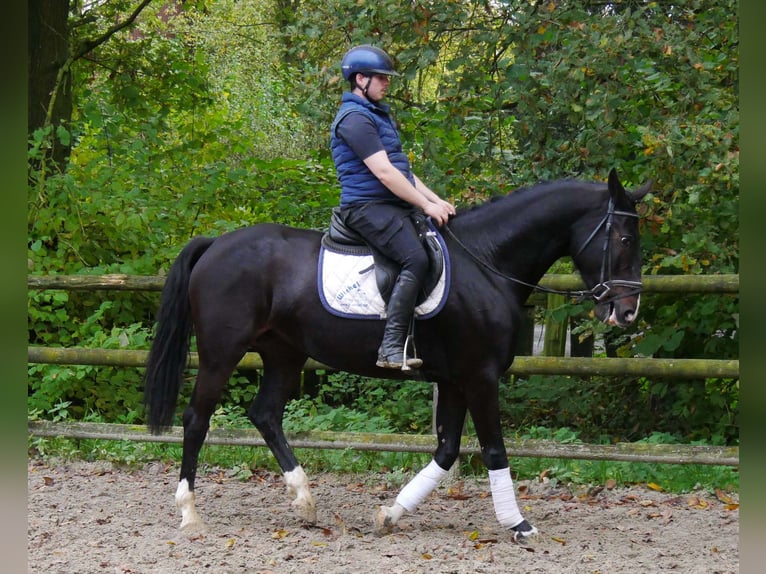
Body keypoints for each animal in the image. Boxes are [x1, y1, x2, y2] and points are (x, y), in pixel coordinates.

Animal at [144, 168, 656, 544]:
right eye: (625, 239)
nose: (628, 311)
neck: (488, 264)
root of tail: (216, 243)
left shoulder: (454, 380)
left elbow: (447, 451)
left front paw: (390, 513)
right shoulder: (480, 376)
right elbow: (493, 448)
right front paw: (519, 524)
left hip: (285, 354)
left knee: (265, 414)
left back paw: (305, 501)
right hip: (221, 353)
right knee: (197, 419)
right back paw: (190, 514)